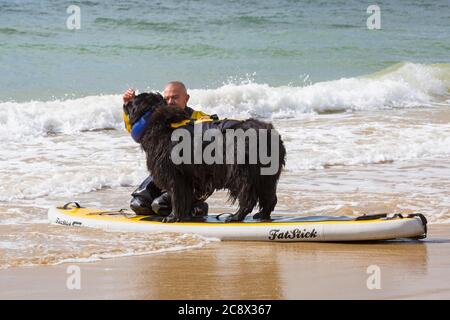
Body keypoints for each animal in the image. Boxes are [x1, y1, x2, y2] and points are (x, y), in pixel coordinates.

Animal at [124, 92, 284, 222]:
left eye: (133, 101)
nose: (125, 102)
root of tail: (269, 133)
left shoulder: (174, 174)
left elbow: (177, 195)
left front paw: (173, 217)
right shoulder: (187, 177)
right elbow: (185, 196)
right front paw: (185, 216)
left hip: (241, 171)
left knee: (248, 196)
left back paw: (236, 216)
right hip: (266, 174)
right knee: (269, 196)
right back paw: (262, 215)